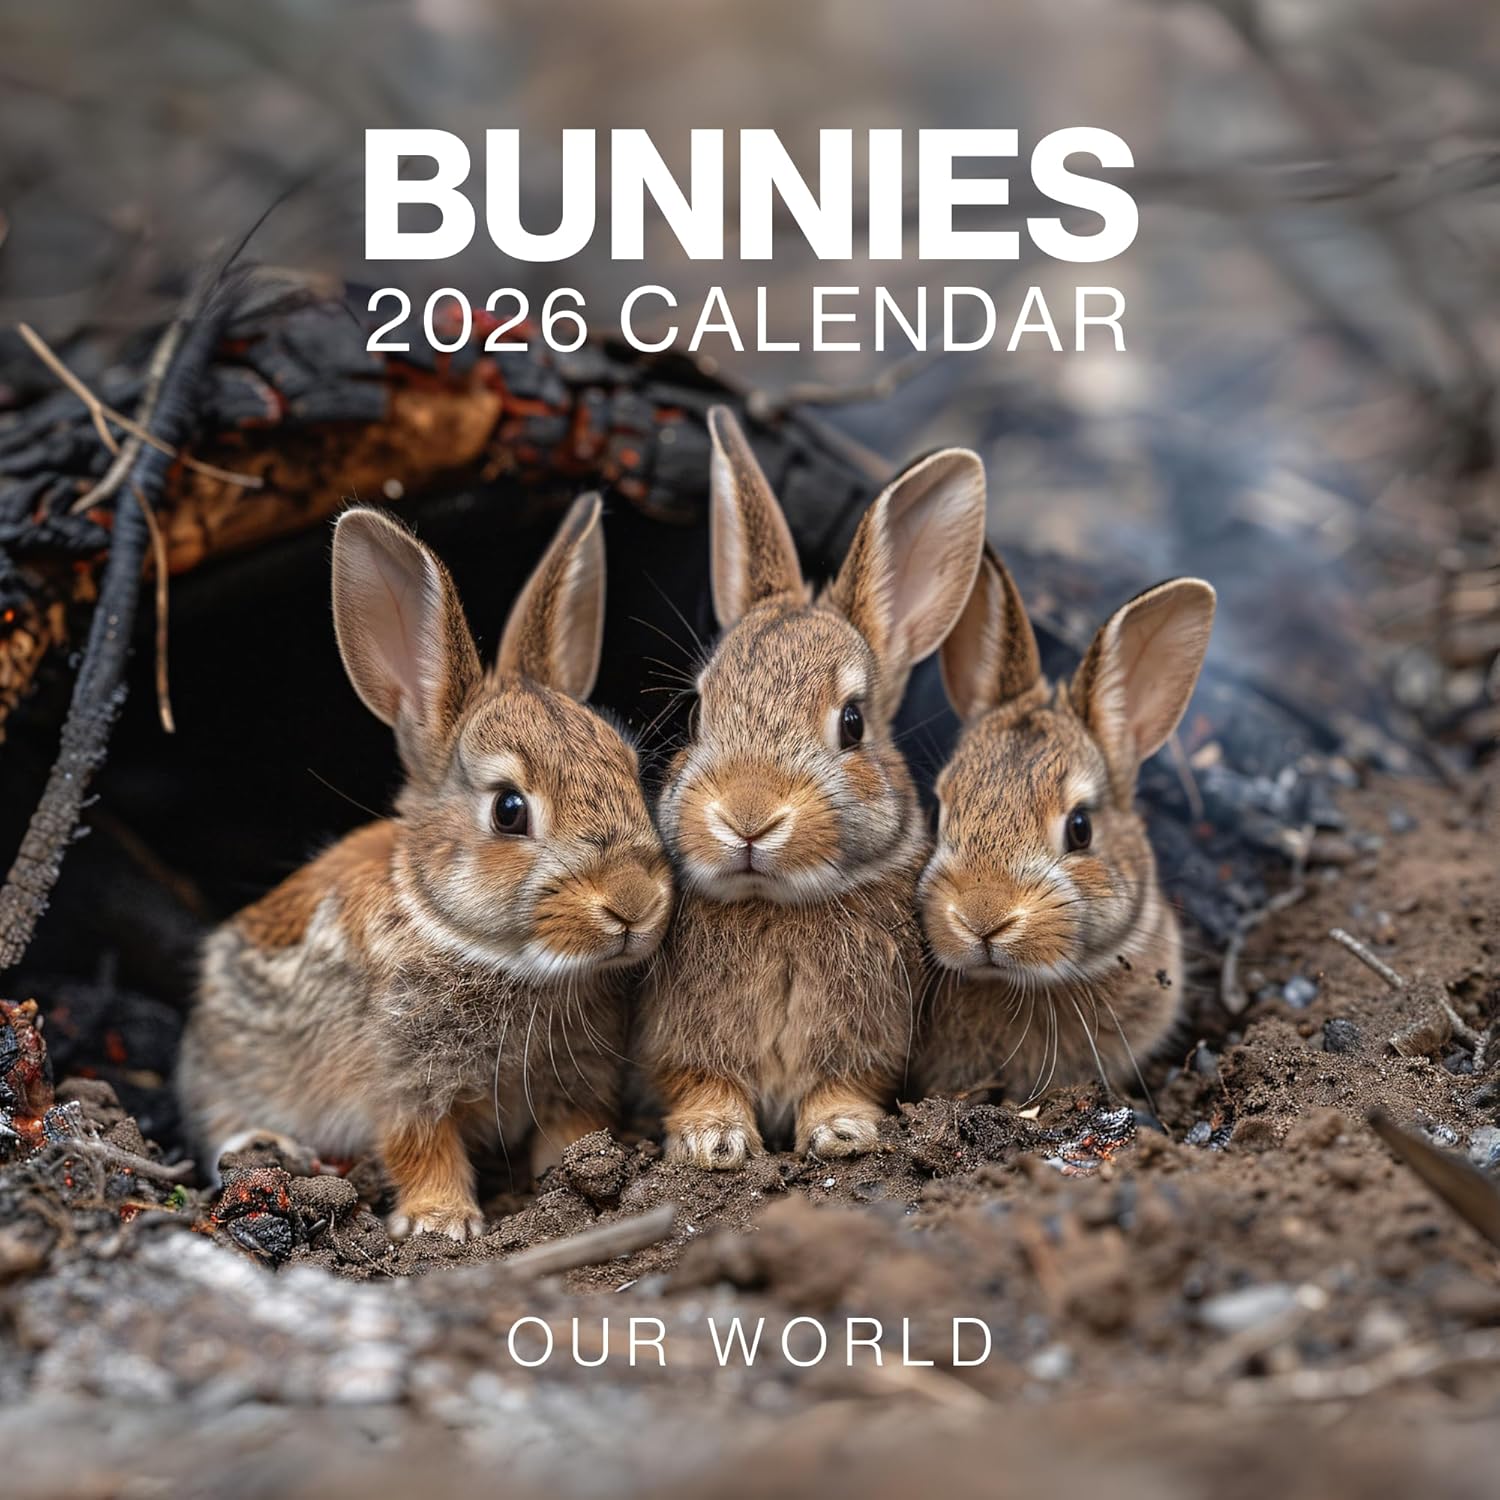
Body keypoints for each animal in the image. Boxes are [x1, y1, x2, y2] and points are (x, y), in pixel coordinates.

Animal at [177, 494, 673, 1240]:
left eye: (631, 771)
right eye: (508, 810)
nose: (634, 903)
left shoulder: (574, 1078)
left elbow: (573, 1132)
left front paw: (575, 1181)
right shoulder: (406, 1082)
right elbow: (420, 1146)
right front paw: (441, 1224)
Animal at [639, 406, 987, 1168]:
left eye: (852, 723)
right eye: (697, 713)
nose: (747, 816)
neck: (776, 905)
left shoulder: (867, 1042)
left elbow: (843, 1085)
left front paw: (843, 1135)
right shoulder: (677, 1045)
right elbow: (698, 1081)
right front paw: (714, 1142)